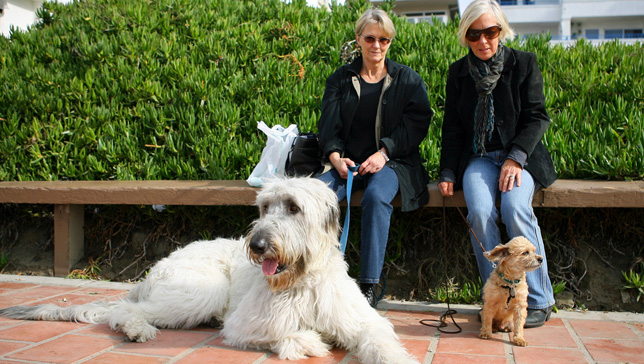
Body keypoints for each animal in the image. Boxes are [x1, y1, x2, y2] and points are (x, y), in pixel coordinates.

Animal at [0, 178, 418, 362]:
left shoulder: (361, 320)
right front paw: (308, 341)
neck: (302, 280)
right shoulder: (245, 324)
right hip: (202, 290)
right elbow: (284, 333)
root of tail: (157, 268)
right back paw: (136, 328)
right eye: (264, 207)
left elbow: (377, 337)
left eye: (293, 207)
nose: (257, 246)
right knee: (123, 310)